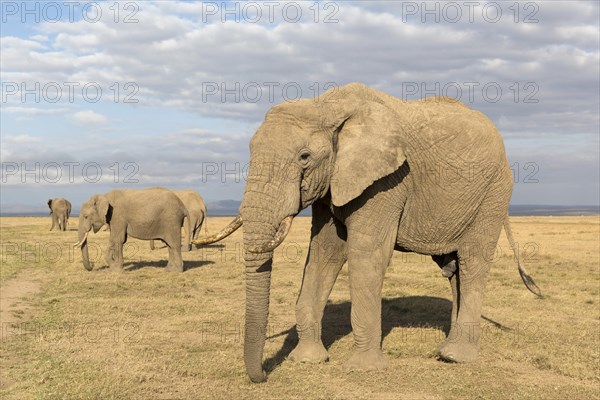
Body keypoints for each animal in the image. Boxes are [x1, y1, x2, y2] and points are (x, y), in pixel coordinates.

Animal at [195, 83, 540, 382]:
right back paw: (446, 348)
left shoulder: (387, 181)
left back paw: (455, 357)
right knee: (453, 268)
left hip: (494, 192)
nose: (264, 376)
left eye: (304, 157)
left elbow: (366, 254)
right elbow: (323, 254)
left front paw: (363, 368)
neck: (326, 106)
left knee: (472, 263)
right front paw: (307, 360)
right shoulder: (334, 182)